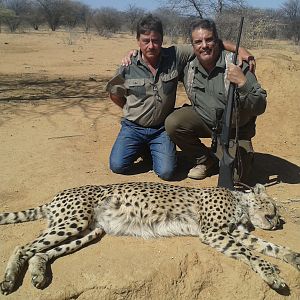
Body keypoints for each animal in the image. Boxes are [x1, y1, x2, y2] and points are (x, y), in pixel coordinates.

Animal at [0, 182, 298, 294]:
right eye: (273, 210)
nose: (277, 223)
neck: (240, 202)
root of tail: (57, 195)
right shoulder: (214, 232)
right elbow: (253, 254)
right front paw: (272, 274)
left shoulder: (233, 232)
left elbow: (268, 247)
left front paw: (293, 257)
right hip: (73, 222)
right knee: (22, 247)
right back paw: (10, 279)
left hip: (89, 231)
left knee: (40, 252)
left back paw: (38, 274)